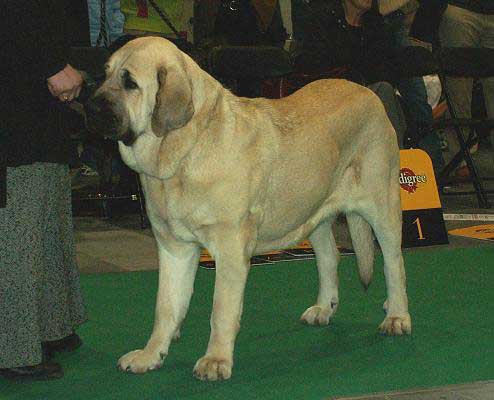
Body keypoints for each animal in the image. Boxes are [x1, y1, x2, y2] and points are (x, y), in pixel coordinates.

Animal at [87, 36, 412, 382]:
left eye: (130, 83)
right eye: (105, 74)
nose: (90, 106)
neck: (187, 148)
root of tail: (369, 93)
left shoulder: (229, 247)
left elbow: (221, 308)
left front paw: (215, 360)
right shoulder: (175, 248)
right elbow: (166, 306)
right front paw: (151, 355)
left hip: (382, 205)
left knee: (393, 263)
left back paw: (396, 315)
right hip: (312, 212)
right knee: (329, 256)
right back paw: (325, 308)